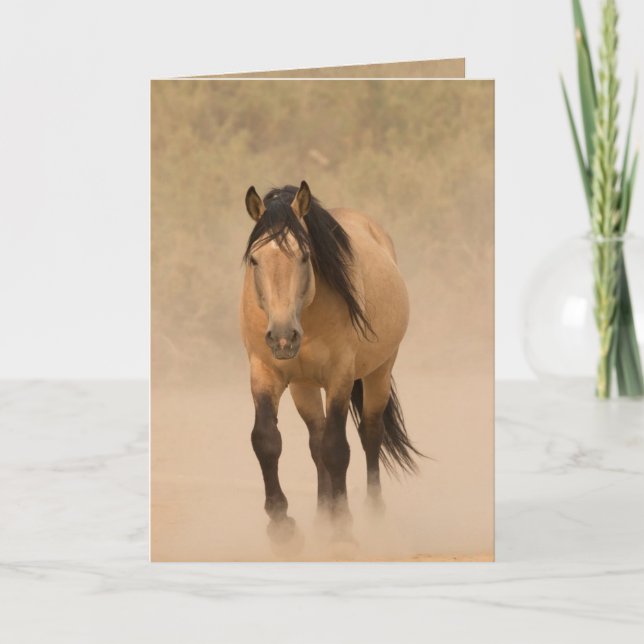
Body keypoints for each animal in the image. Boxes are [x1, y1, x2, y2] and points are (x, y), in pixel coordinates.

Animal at [240, 181, 420, 545]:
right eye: (255, 259)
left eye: (305, 256)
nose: (283, 337)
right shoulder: (265, 372)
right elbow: (267, 440)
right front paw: (282, 527)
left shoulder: (340, 377)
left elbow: (338, 449)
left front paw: (343, 528)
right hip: (304, 386)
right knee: (316, 440)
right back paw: (322, 516)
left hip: (379, 372)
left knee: (369, 434)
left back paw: (373, 515)